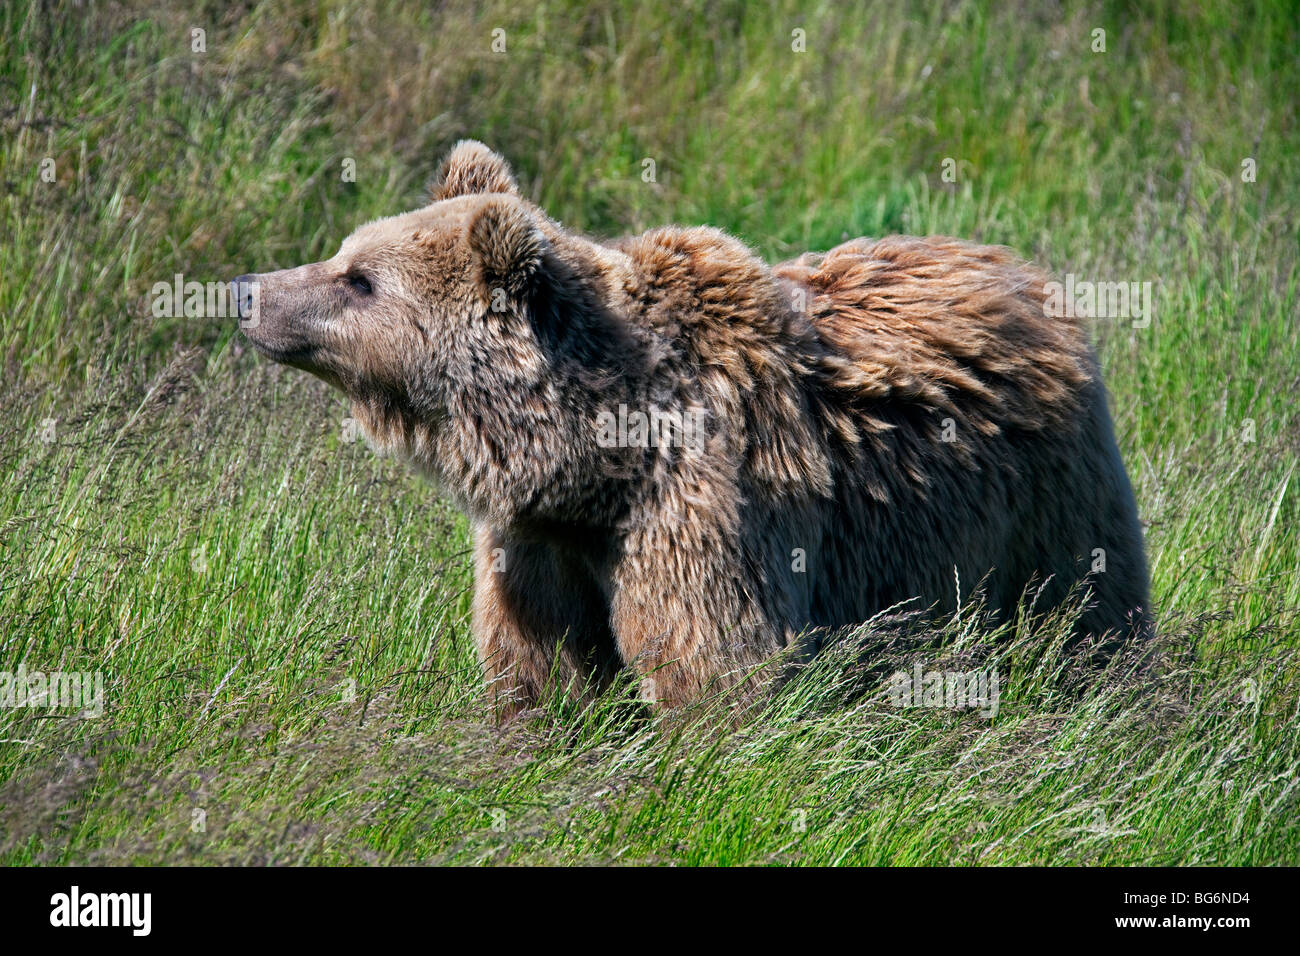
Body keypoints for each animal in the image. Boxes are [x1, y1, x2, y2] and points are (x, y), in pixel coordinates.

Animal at [233, 138, 1149, 712]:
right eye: (344, 251)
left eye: (359, 278)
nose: (247, 290)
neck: (597, 462)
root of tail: (1021, 273)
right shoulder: (539, 543)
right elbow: (540, 664)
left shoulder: (700, 509)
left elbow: (711, 664)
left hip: (1041, 495)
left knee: (1080, 608)